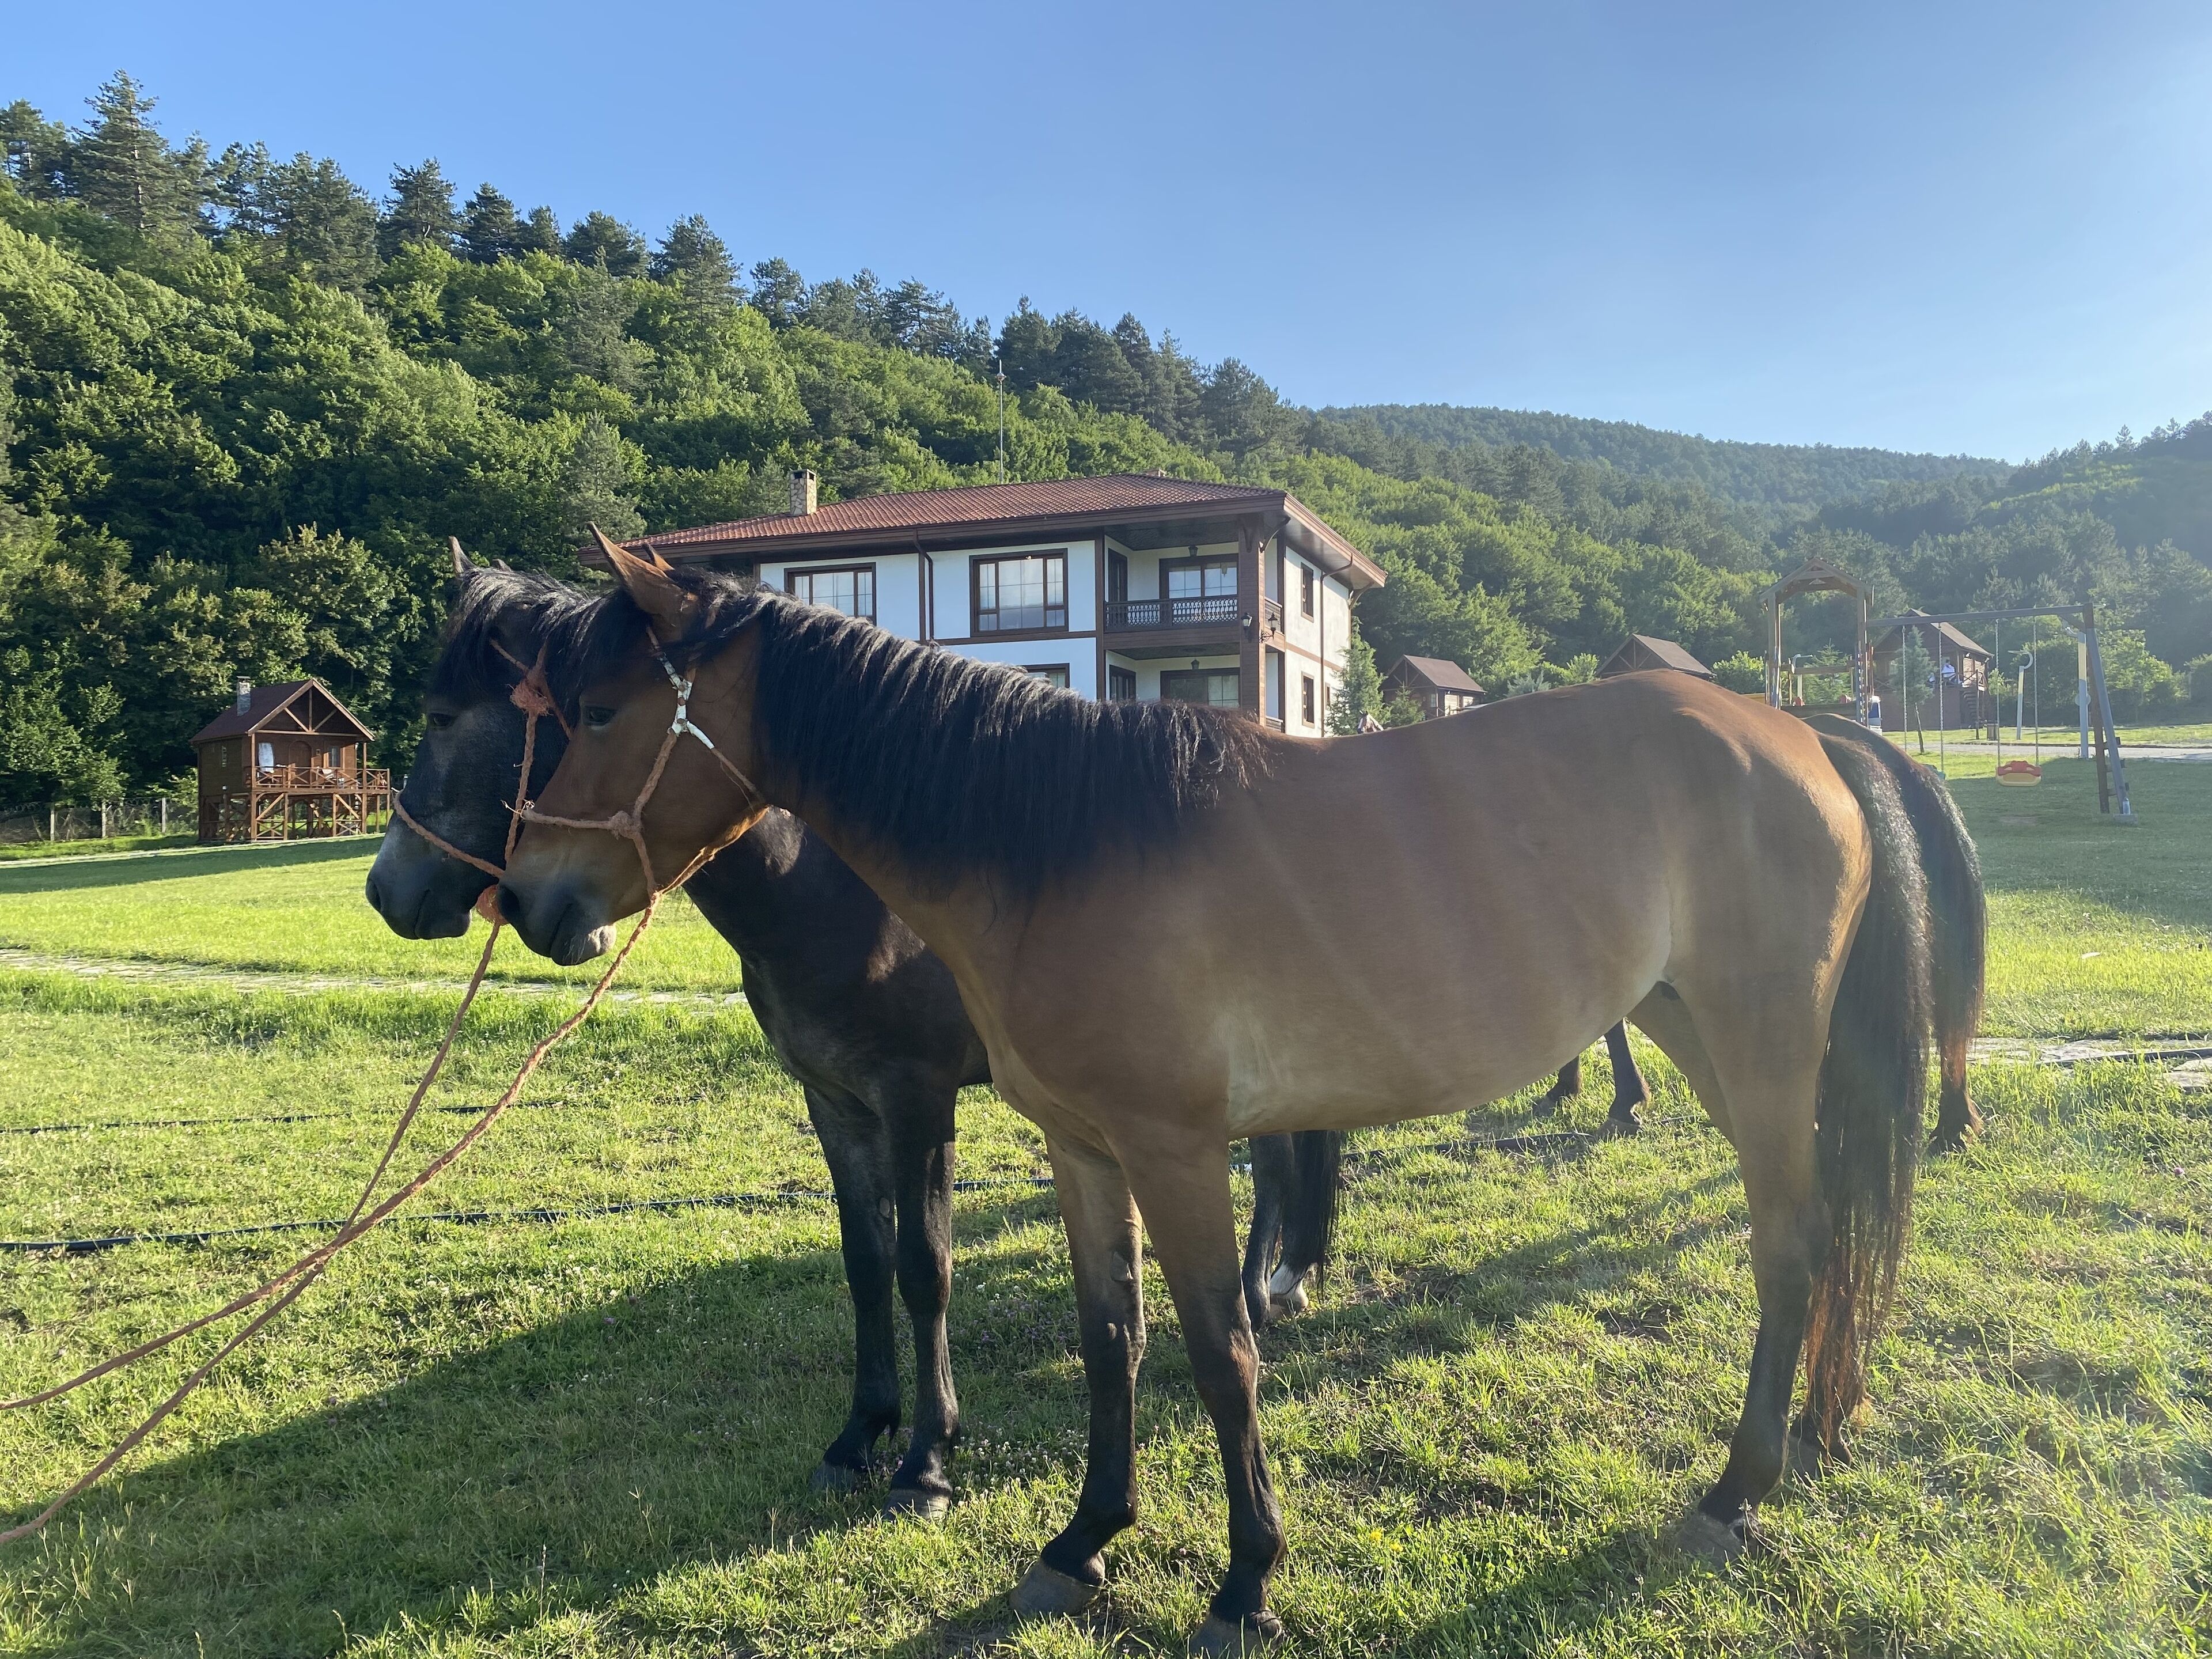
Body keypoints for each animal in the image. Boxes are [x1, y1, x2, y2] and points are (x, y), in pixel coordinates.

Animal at [363, 560, 1345, 1519]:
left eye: (447, 718)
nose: (386, 890)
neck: (838, 885)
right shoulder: (834, 1101)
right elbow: (866, 1264)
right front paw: (860, 1434)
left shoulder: (918, 1100)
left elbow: (924, 1267)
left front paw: (927, 1461)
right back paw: (1280, 1282)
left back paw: (1260, 1294)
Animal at [497, 545, 1982, 1653]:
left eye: (596, 712)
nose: (529, 900)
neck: (1050, 840)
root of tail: (1802, 736)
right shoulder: (1083, 1149)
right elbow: (1113, 1339)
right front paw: (1082, 1542)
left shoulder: (1174, 1150)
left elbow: (1220, 1355)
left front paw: (1245, 1580)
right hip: (1697, 1036)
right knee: (1814, 1246)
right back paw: (1798, 1440)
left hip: (1761, 1047)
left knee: (1788, 1252)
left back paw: (1738, 1487)